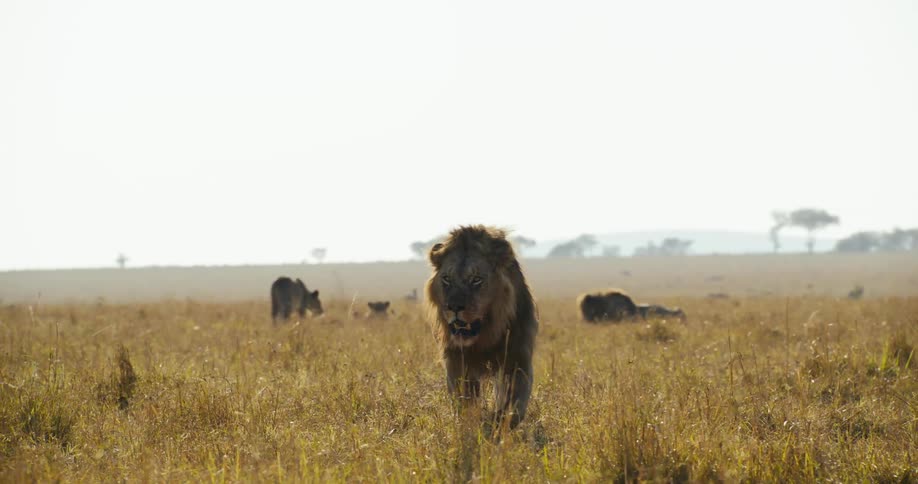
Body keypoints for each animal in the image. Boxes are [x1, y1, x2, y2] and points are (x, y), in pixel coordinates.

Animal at [425, 225, 538, 429]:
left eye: (476, 279)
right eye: (446, 279)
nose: (454, 307)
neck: (486, 335)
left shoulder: (518, 359)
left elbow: (515, 404)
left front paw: (499, 423)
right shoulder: (457, 361)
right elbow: (465, 402)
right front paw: (471, 423)